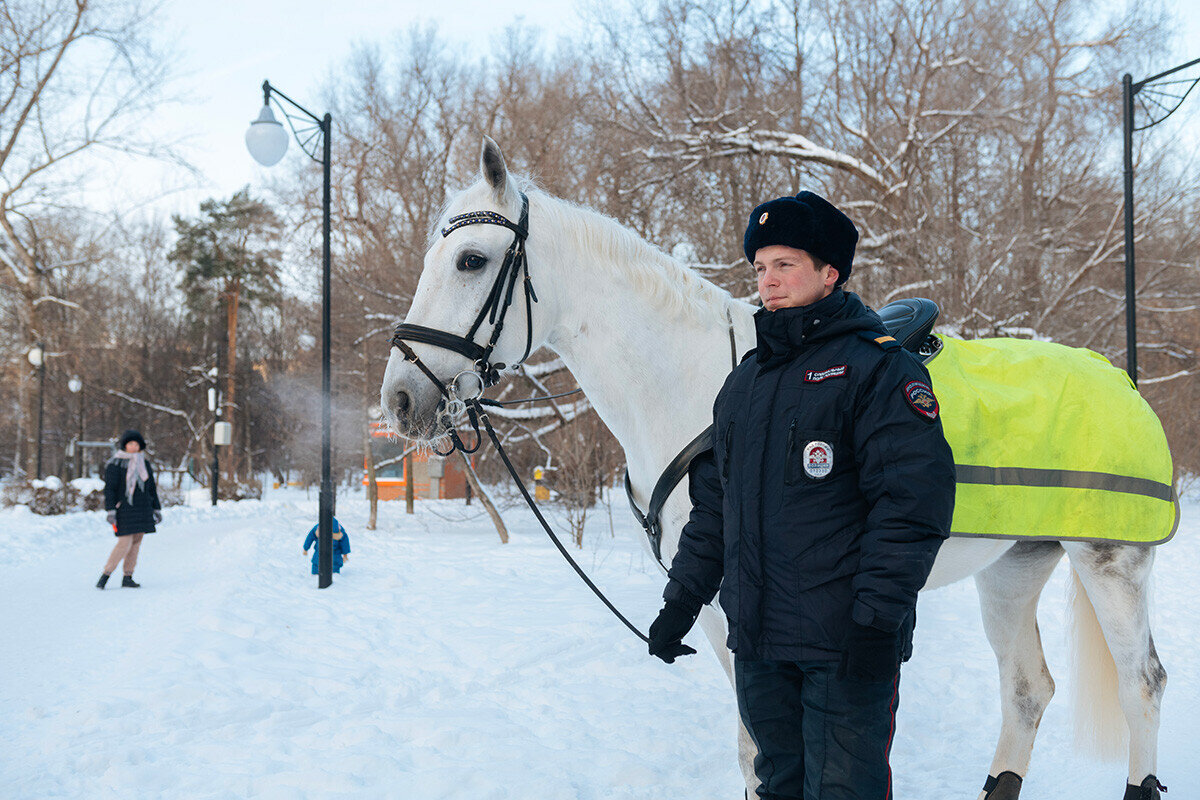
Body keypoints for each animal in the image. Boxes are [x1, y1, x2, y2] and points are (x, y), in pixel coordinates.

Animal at [379, 140, 1166, 796]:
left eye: (471, 260)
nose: (401, 396)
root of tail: (1116, 378)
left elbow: (763, 752)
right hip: (1011, 568)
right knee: (1028, 689)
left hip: (1110, 562)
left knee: (1143, 686)